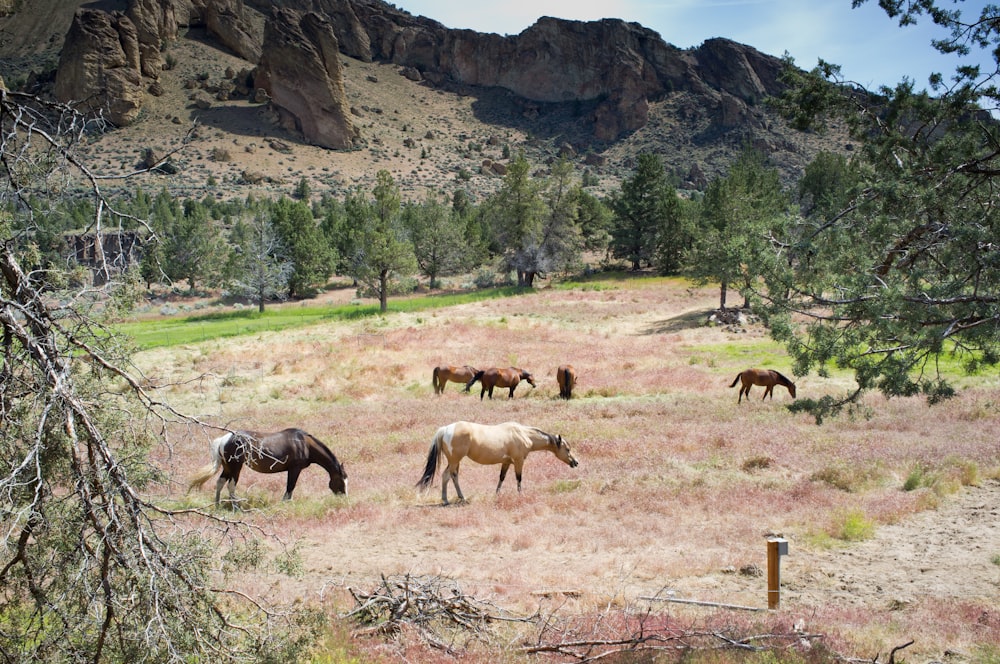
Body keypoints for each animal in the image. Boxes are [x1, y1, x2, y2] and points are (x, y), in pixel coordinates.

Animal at [189, 428, 350, 506]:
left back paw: (217, 505)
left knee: (220, 482)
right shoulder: (295, 469)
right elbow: (290, 487)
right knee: (231, 486)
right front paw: (286, 504)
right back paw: (236, 508)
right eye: (341, 481)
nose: (344, 498)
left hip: (228, 468)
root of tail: (225, 439)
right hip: (235, 468)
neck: (304, 443)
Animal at [414, 422, 580, 506]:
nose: (575, 462)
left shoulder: (506, 462)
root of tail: (446, 429)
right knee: (450, 476)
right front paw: (520, 495)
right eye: (567, 449)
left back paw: (454, 499)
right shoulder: (518, 461)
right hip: (455, 460)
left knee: (450, 476)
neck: (524, 434)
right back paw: (454, 499)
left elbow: (501, 478)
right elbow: (519, 478)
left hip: (454, 461)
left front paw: (497, 494)